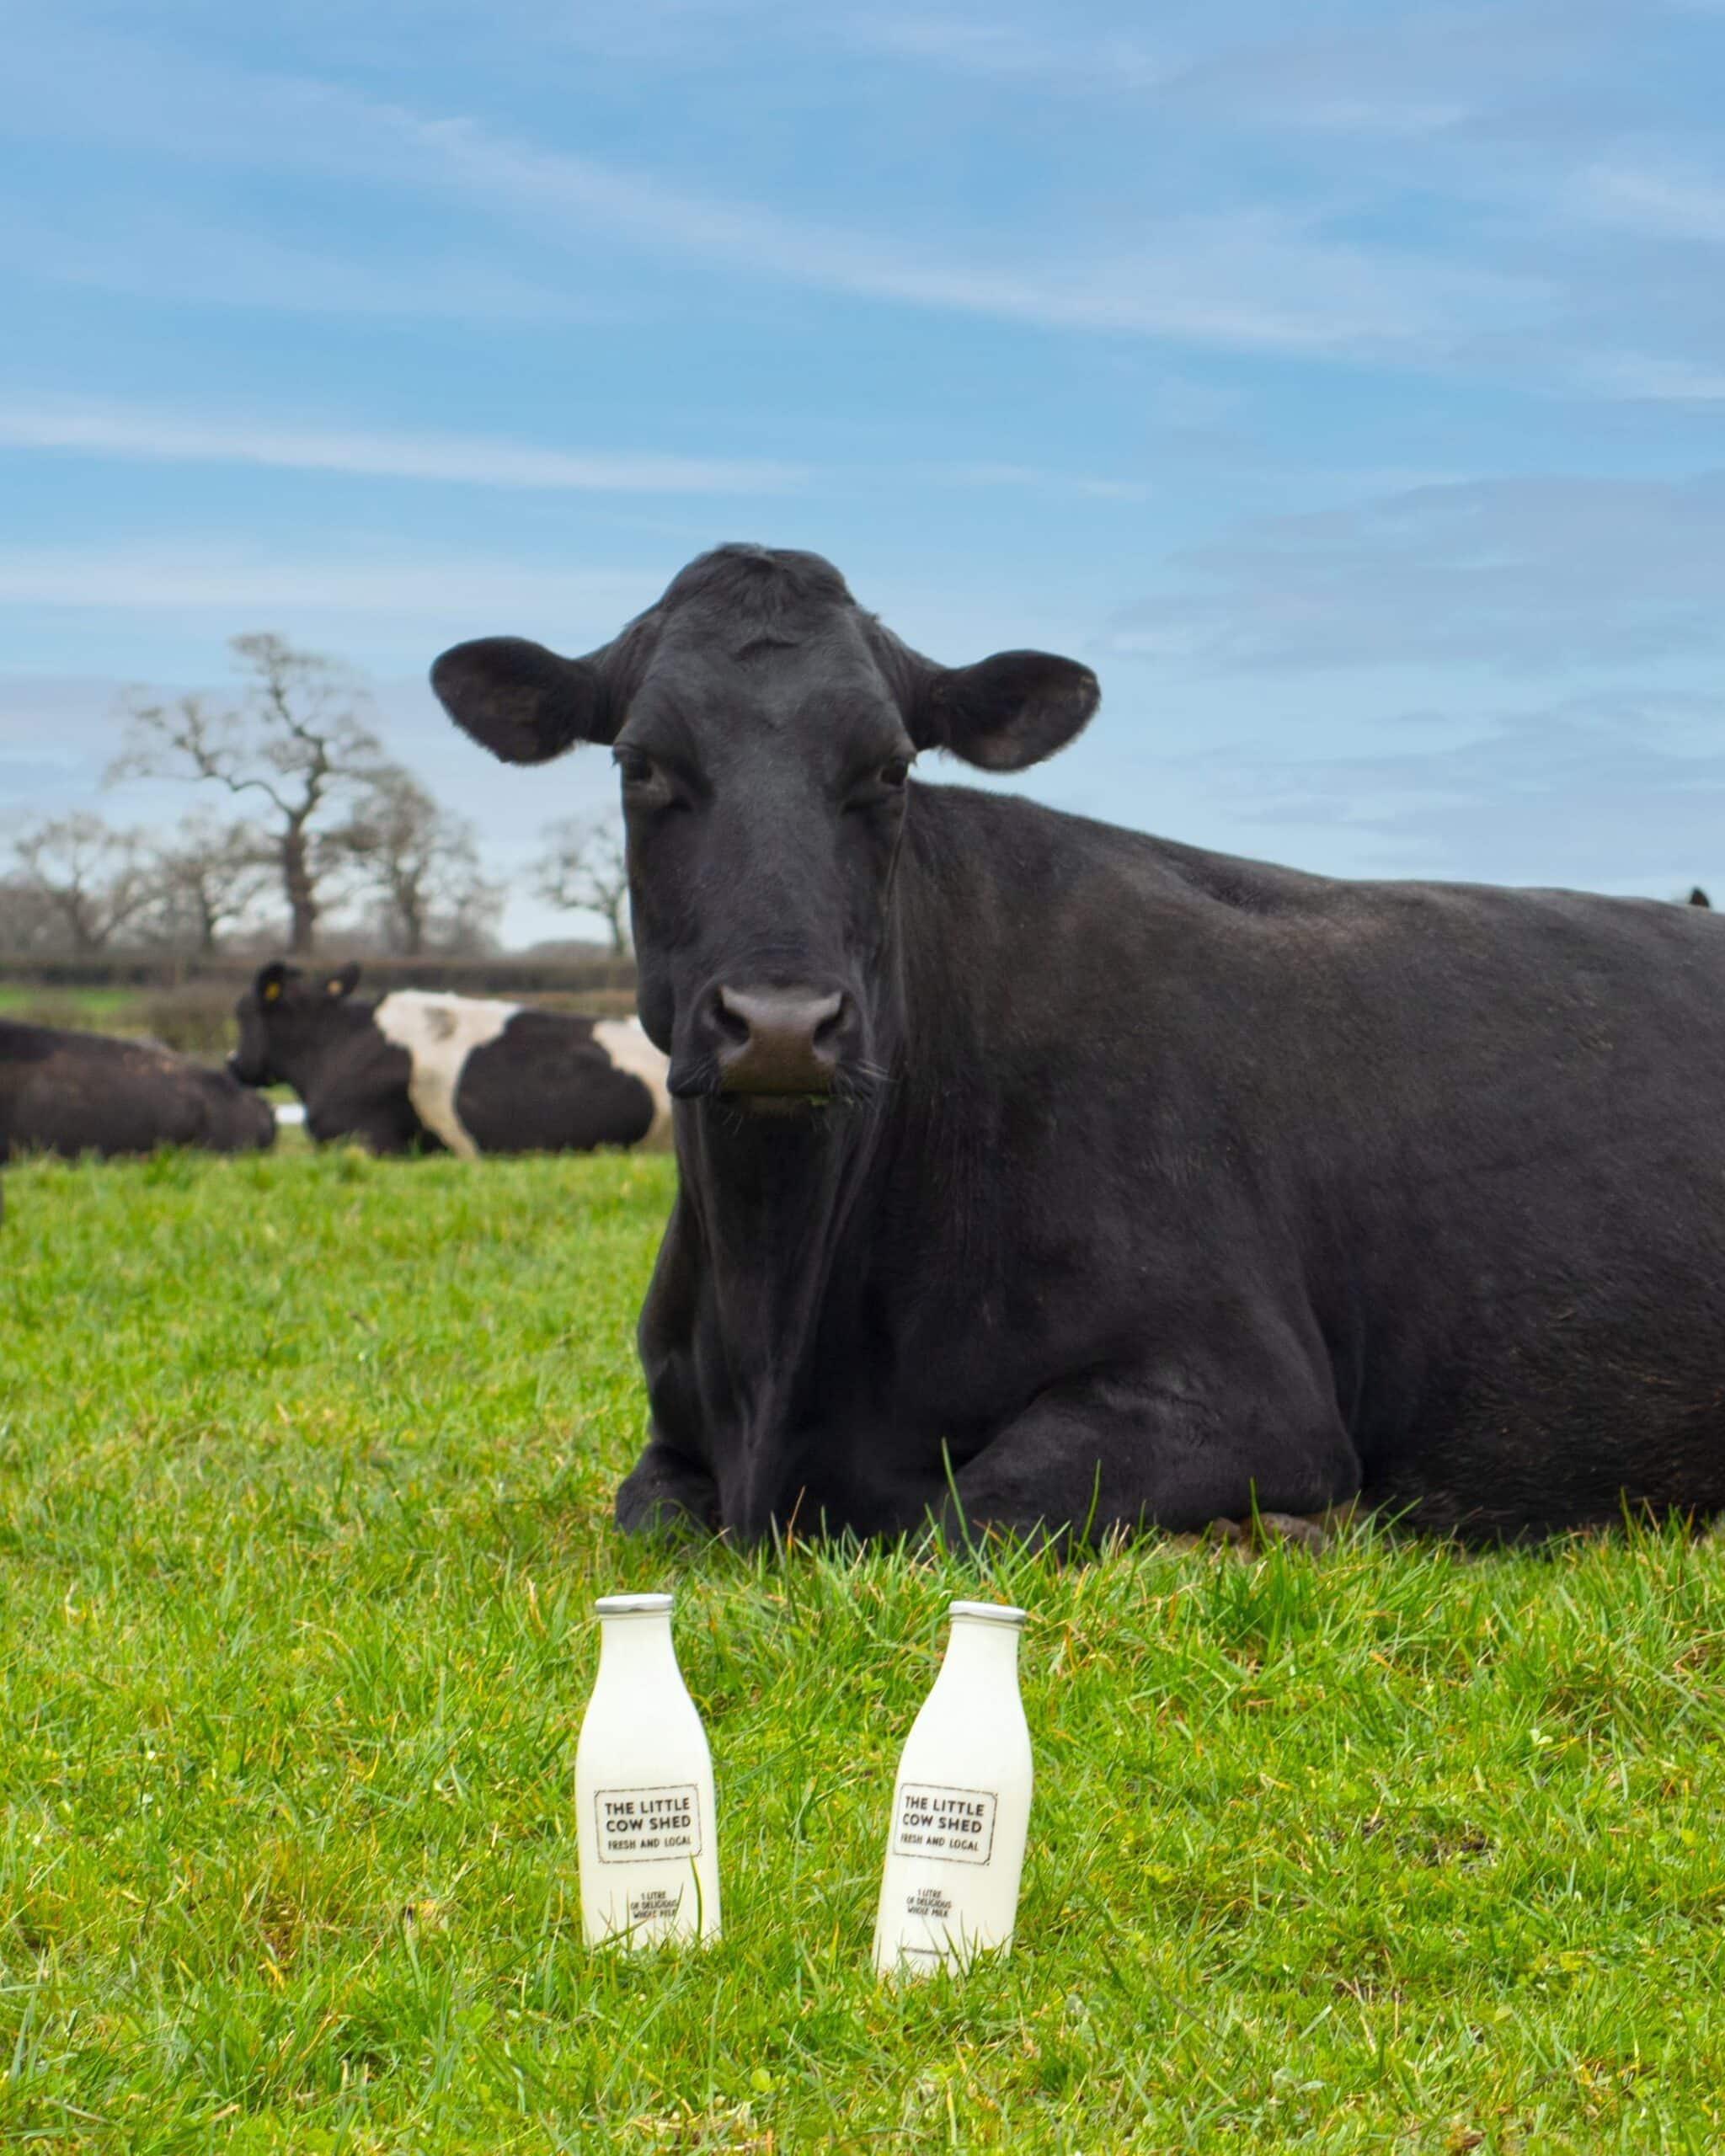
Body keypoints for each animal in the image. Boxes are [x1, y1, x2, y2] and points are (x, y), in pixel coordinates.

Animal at [430, 542, 1725, 1549]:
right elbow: (643, 1512)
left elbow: (962, 1517)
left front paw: (1272, 1534)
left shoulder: (1245, 1391)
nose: (783, 1025)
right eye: (640, 762)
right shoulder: (673, 1435)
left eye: (889, 767)